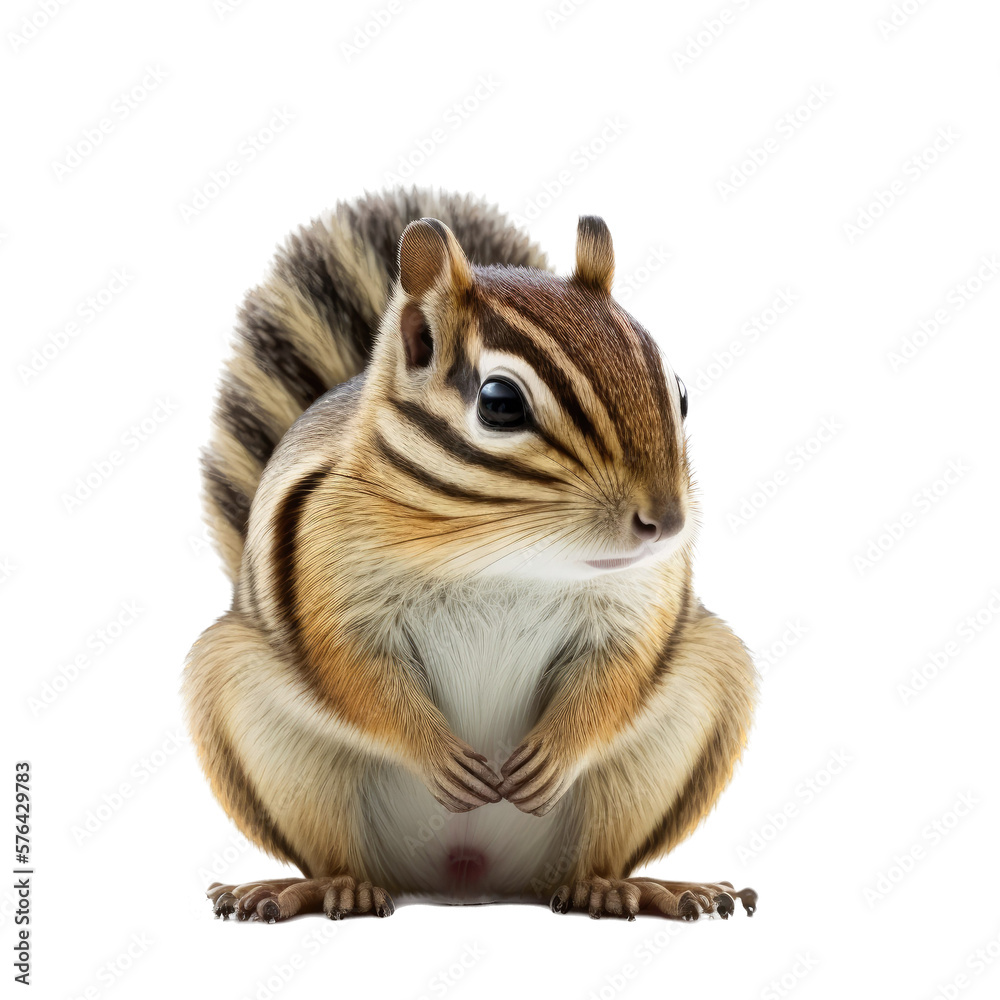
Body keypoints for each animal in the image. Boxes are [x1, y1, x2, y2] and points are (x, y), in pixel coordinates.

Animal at [184, 188, 758, 923]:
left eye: (679, 393)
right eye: (500, 403)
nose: (668, 522)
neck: (505, 555)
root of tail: (467, 881)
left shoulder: (638, 601)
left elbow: (618, 674)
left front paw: (552, 755)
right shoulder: (331, 594)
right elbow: (356, 674)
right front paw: (440, 757)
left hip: (687, 717)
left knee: (599, 850)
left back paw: (628, 887)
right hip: (261, 724)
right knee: (333, 846)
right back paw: (320, 887)